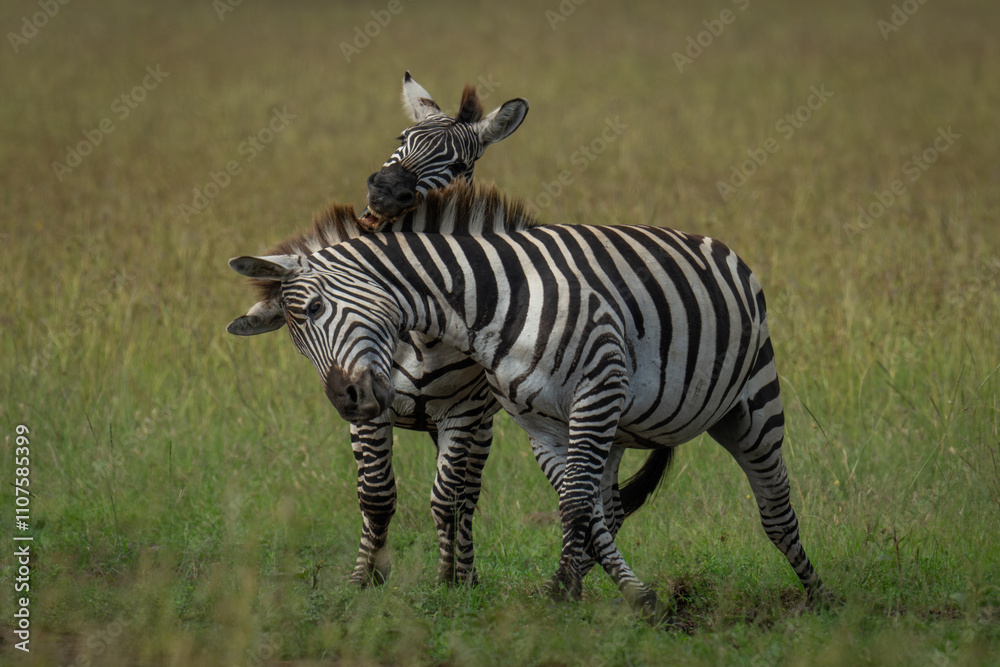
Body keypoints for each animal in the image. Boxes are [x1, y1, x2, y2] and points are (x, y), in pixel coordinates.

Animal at [229, 180, 833, 621]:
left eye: (313, 311)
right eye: (294, 338)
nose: (345, 400)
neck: (476, 302)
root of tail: (721, 246)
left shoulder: (540, 399)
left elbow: (498, 501)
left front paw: (522, 588)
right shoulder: (538, 417)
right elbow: (380, 495)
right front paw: (366, 582)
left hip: (750, 404)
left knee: (775, 508)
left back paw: (820, 596)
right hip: (611, 426)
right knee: (606, 504)